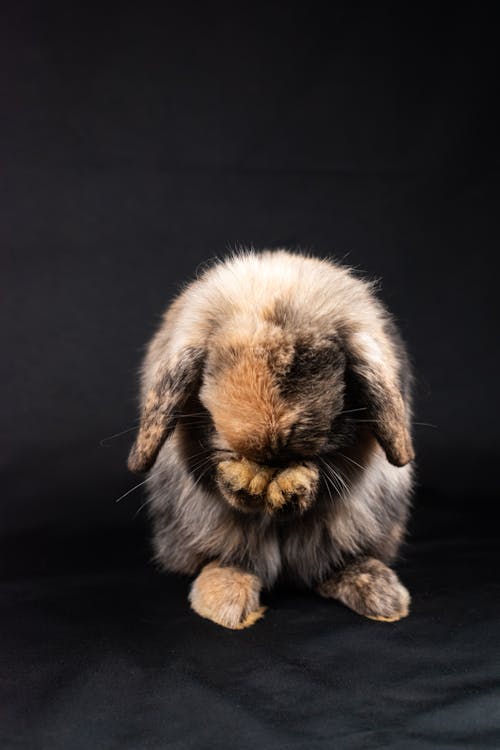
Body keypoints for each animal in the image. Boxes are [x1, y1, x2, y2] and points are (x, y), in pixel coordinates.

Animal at [128, 251, 414, 628]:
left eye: (310, 359)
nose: (271, 442)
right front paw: (244, 481)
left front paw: (292, 486)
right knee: (229, 558)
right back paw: (226, 601)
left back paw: (380, 595)